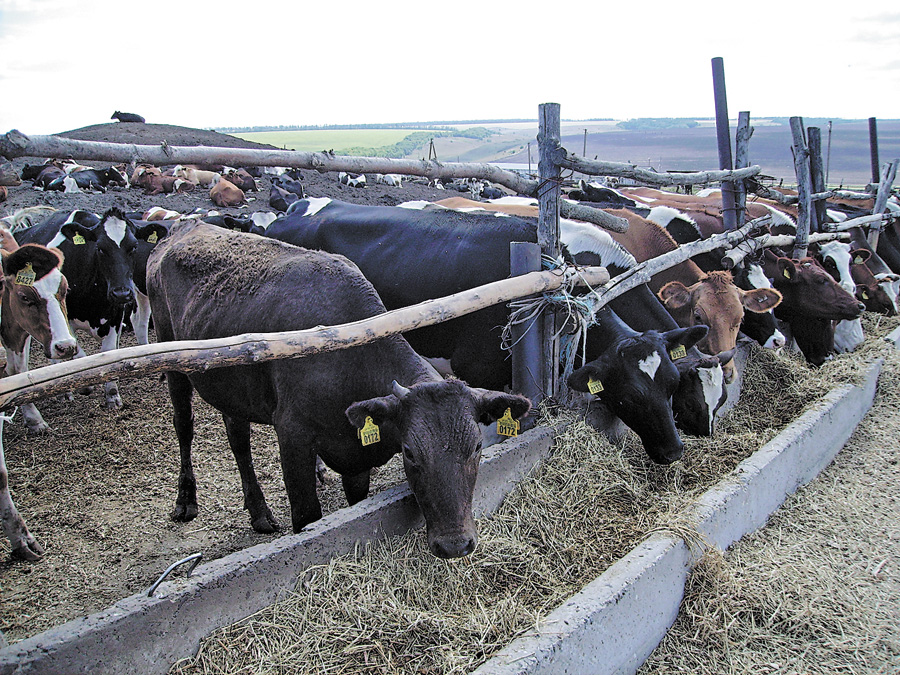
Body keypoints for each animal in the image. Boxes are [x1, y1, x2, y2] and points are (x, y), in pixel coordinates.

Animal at [144, 222, 532, 560]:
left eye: (477, 446)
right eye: (409, 452)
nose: (455, 545)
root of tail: (186, 225)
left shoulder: (355, 455)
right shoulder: (292, 434)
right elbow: (307, 516)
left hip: (230, 384)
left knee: (237, 437)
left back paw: (259, 511)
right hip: (171, 356)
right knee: (184, 425)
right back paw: (186, 499)